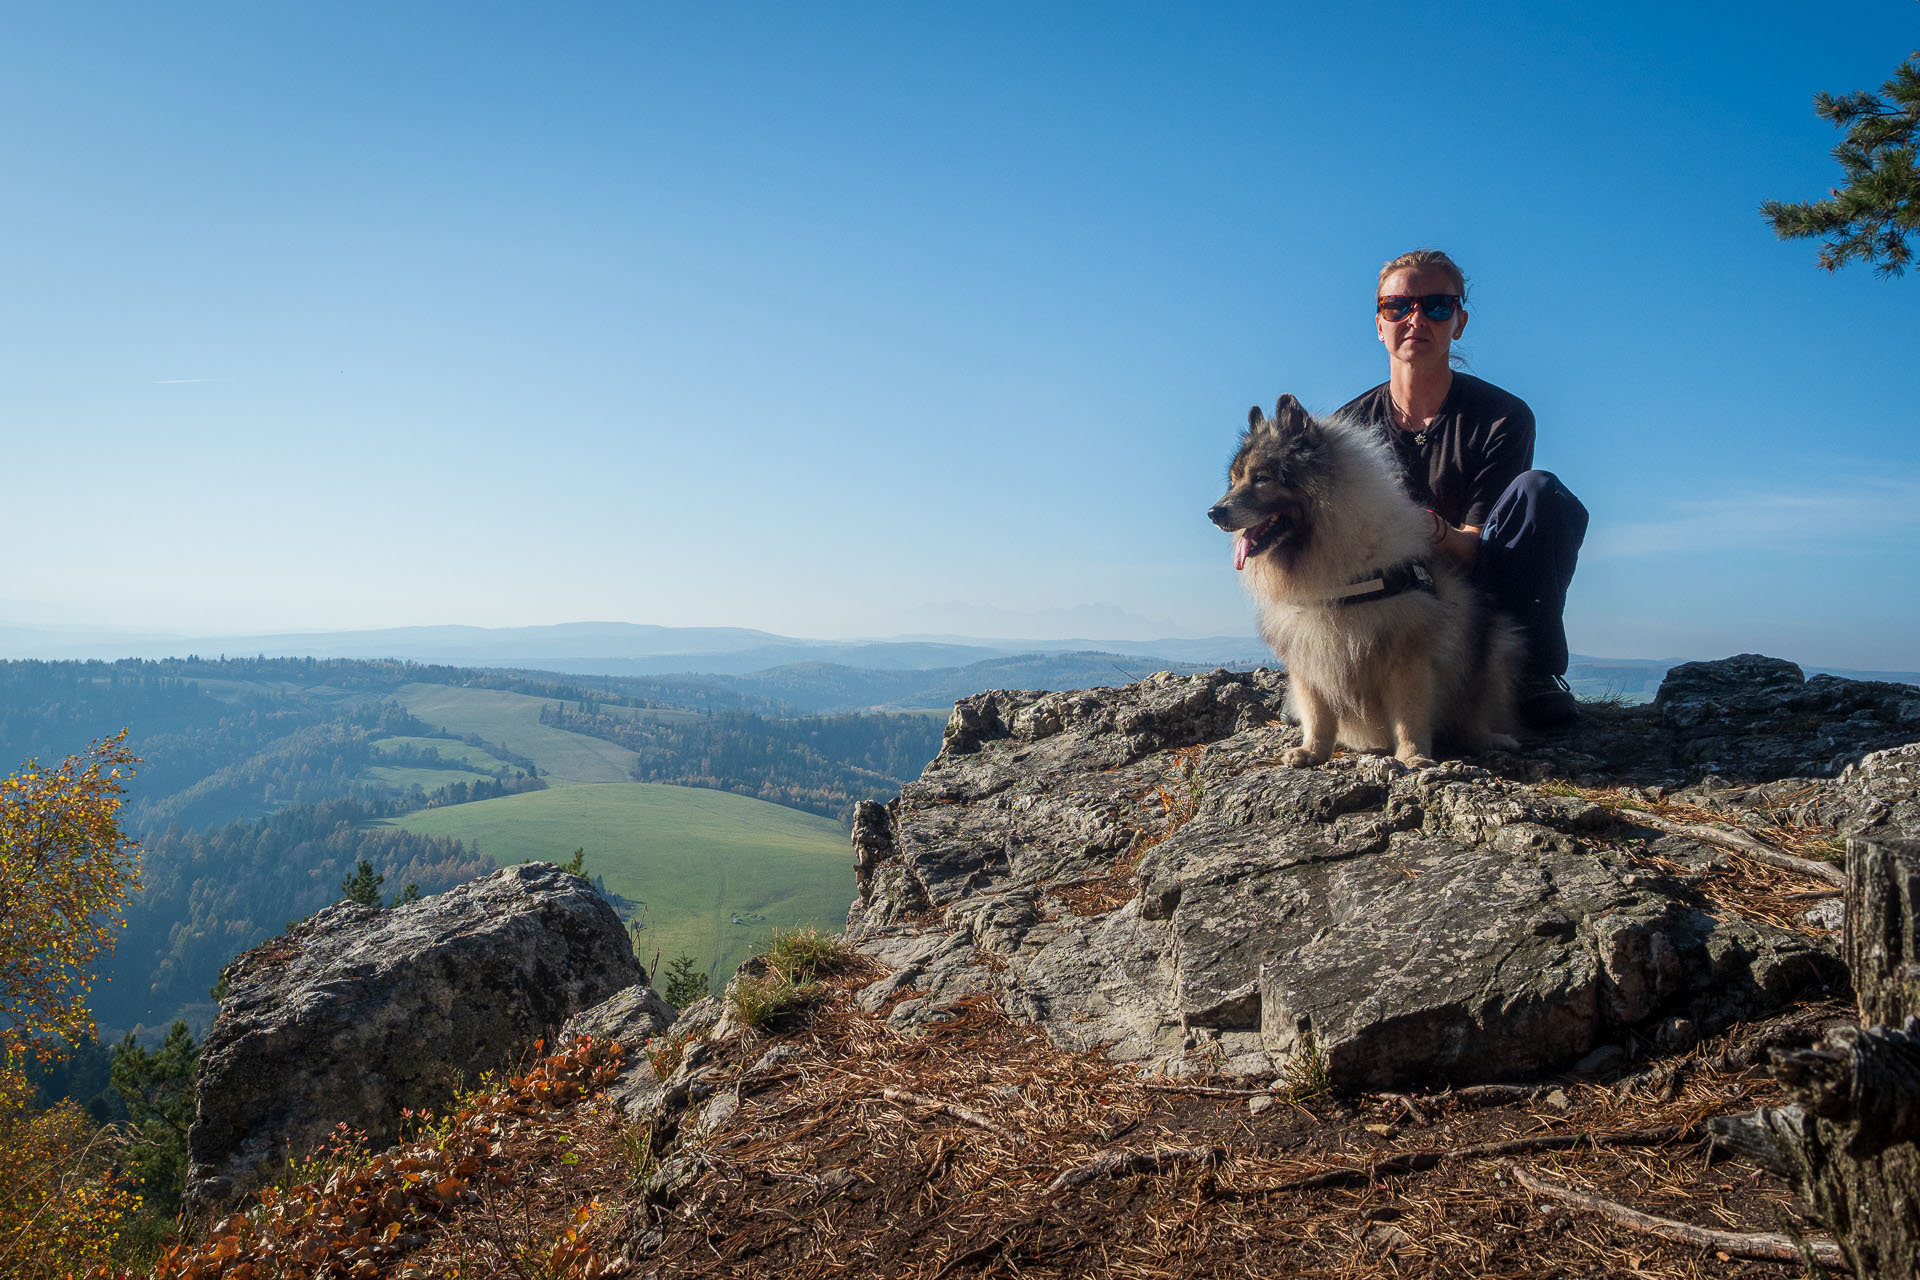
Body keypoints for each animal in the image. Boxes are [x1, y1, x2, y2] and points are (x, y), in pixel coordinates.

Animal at [1205, 395, 1520, 767]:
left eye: (1261, 478)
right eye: (1235, 480)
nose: (1213, 513)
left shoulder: (1408, 652)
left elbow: (1409, 714)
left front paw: (1413, 757)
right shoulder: (1308, 654)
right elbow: (1318, 711)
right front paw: (1313, 751)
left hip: (1498, 649)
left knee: (1476, 717)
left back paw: (1493, 739)